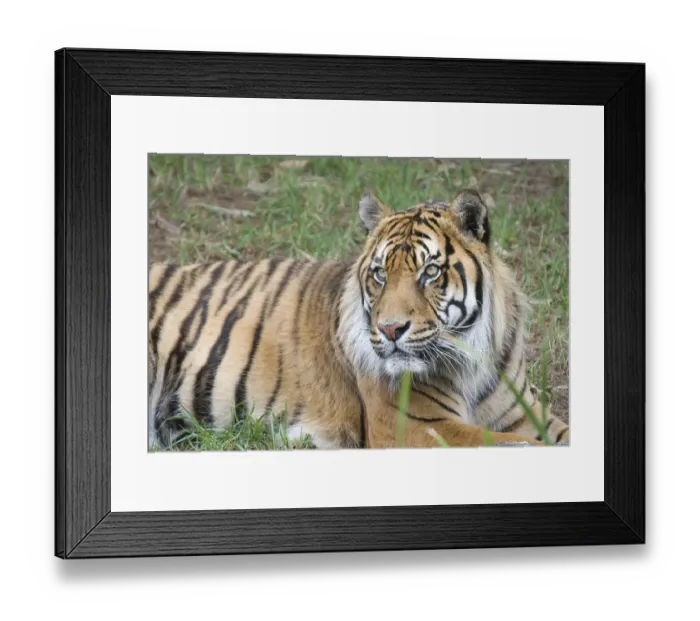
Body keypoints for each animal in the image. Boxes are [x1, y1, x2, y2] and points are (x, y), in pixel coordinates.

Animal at [148, 189, 569, 450]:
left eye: (430, 273)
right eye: (380, 274)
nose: (390, 329)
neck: (473, 361)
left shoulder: (524, 414)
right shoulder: (416, 426)